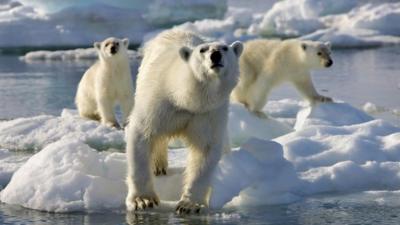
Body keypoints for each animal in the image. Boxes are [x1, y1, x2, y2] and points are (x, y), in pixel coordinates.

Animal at [125, 29, 244, 214]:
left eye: (225, 48)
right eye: (202, 50)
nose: (215, 55)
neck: (185, 99)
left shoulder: (207, 113)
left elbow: (205, 150)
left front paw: (189, 204)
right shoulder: (159, 102)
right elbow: (142, 135)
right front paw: (142, 200)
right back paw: (158, 166)